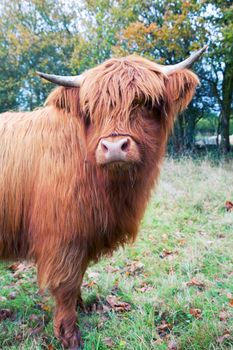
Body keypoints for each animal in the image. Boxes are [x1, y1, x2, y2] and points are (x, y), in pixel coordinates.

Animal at [0, 45, 207, 348]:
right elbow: (66, 284)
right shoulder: (63, 237)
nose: (114, 147)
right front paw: (70, 335)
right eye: (91, 108)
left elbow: (79, 277)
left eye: (144, 102)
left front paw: (82, 306)